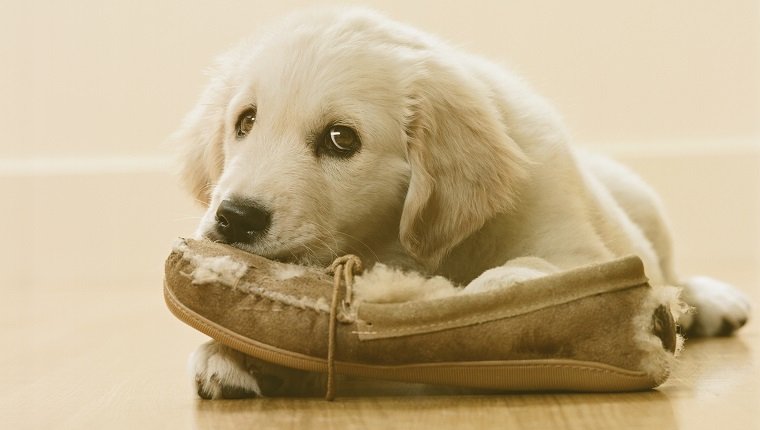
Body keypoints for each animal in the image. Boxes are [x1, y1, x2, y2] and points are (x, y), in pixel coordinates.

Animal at [171, 6, 748, 398]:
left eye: (340, 139)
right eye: (245, 121)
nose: (234, 218)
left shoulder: (579, 248)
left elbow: (548, 272)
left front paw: (497, 293)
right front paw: (232, 352)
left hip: (644, 204)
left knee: (672, 274)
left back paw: (711, 303)